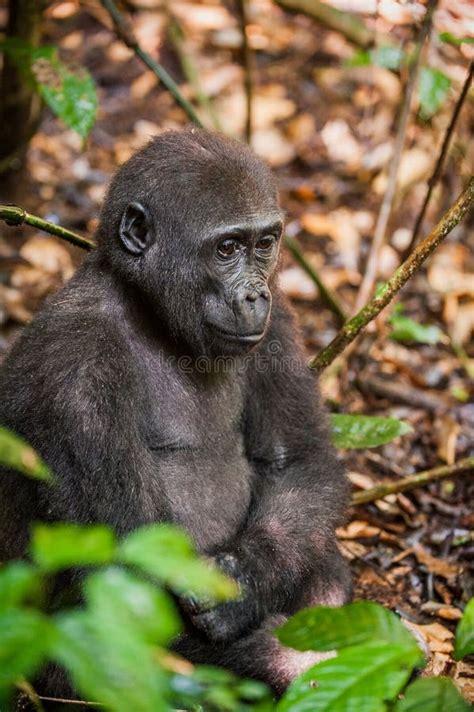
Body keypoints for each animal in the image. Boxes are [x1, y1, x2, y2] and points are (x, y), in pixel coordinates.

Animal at [0, 129, 352, 696]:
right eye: (227, 248)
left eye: (265, 244)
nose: (256, 295)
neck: (149, 312)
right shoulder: (72, 372)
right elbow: (130, 582)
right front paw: (297, 663)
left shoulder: (277, 325)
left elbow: (298, 461)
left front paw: (246, 581)